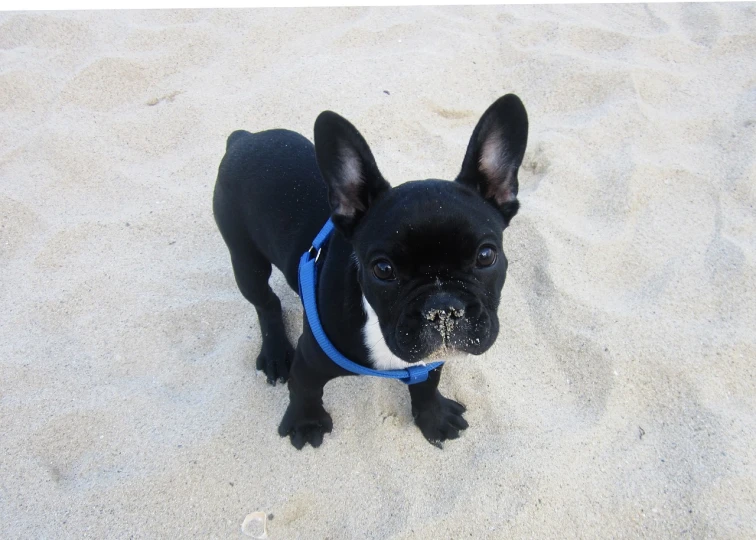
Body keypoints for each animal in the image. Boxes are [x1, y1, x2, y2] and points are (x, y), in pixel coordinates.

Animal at [213, 95, 528, 450]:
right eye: (383, 269)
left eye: (486, 256)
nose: (442, 308)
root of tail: (243, 138)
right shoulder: (309, 360)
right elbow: (305, 389)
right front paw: (306, 422)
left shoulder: (428, 359)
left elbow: (427, 384)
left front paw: (433, 417)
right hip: (244, 258)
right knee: (265, 302)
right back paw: (276, 353)